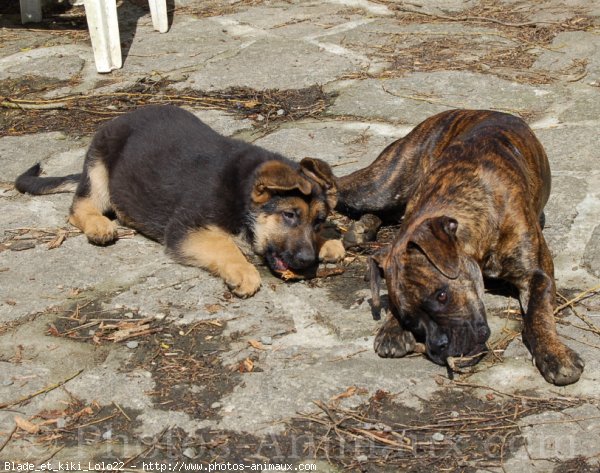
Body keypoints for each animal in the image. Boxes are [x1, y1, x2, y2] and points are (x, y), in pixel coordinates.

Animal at [16, 105, 344, 296]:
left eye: (318, 221)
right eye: (289, 215)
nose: (307, 262)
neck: (242, 194)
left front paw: (328, 242)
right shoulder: (185, 229)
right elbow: (224, 244)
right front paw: (242, 272)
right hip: (99, 167)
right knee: (79, 206)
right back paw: (99, 225)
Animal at [338, 109, 584, 386]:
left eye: (442, 296)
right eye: (409, 318)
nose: (439, 345)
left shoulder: (537, 274)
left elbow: (537, 314)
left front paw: (554, 354)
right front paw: (392, 328)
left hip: (382, 186)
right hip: (379, 188)